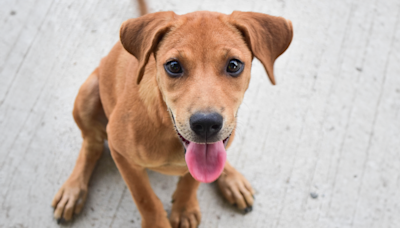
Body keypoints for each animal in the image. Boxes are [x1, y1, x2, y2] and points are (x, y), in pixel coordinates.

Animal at [51, 1, 292, 226]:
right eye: (174, 66)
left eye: (233, 65)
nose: (206, 124)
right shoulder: (121, 154)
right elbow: (144, 197)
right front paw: (157, 222)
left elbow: (192, 180)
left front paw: (184, 208)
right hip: (88, 94)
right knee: (92, 144)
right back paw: (73, 190)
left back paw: (231, 179)